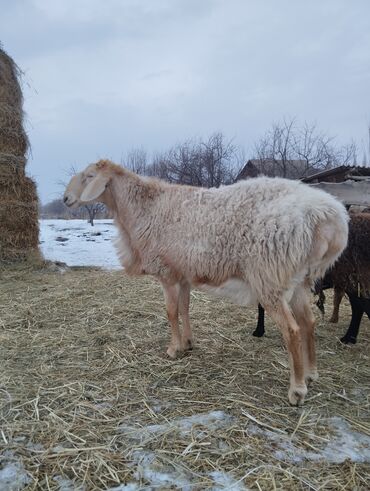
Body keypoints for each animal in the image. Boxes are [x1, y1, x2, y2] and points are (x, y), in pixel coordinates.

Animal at [64, 160, 350, 406]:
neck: (144, 208)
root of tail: (328, 217)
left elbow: (170, 311)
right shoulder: (184, 275)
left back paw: (297, 390)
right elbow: (185, 309)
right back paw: (311, 374)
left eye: (89, 176)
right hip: (300, 278)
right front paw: (189, 343)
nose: (66, 199)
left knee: (292, 330)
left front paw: (174, 349)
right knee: (308, 322)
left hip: (269, 275)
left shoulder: (167, 273)